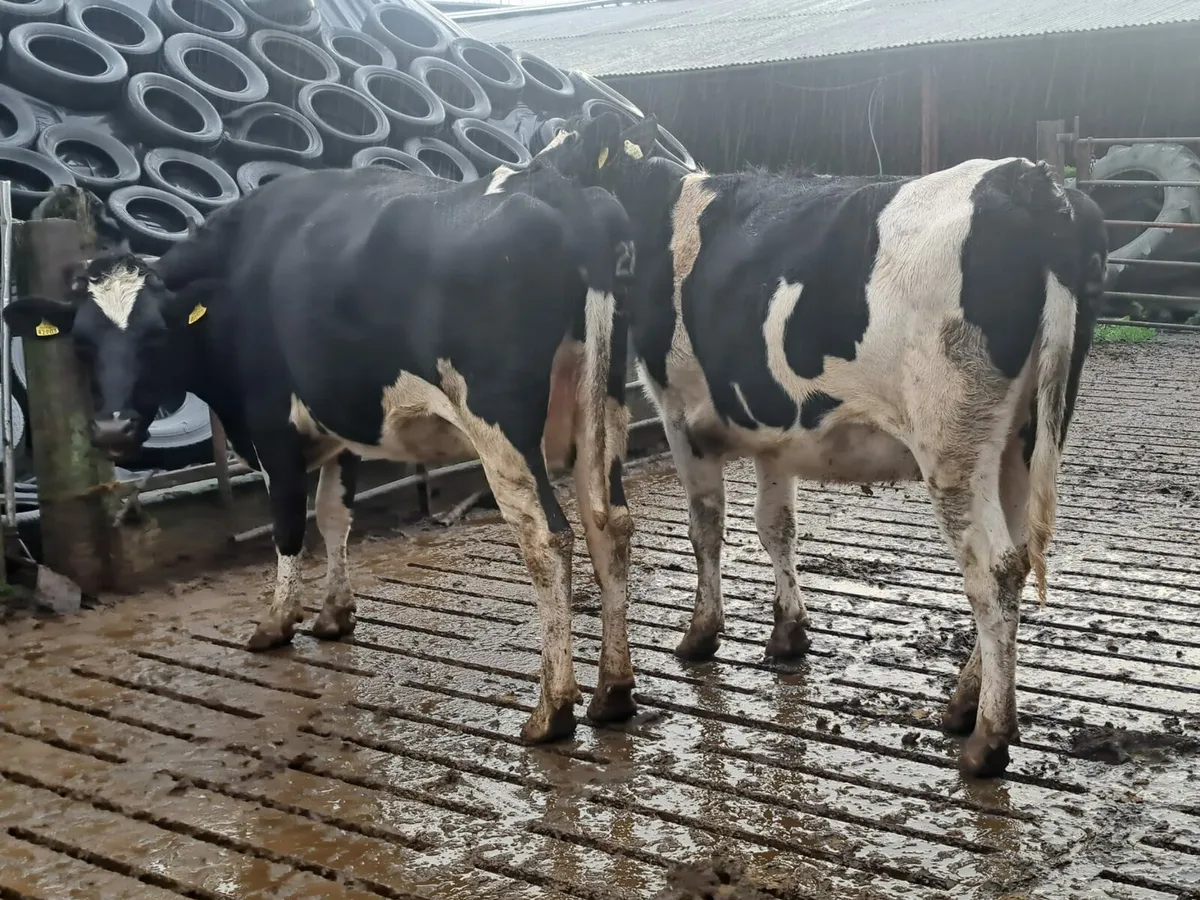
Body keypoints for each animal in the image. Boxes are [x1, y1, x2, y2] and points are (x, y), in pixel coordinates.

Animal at [2, 161, 640, 744]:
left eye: (157, 335)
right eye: (83, 344)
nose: (112, 429)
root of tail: (557, 188)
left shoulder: (272, 428)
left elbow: (287, 525)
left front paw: (276, 622)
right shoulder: (340, 429)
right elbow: (336, 517)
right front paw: (335, 614)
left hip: (498, 420)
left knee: (546, 535)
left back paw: (551, 710)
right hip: (602, 406)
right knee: (609, 521)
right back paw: (612, 692)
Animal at [535, 112, 1107, 777]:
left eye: (562, 157)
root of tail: (1032, 180)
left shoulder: (678, 414)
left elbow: (706, 525)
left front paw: (701, 634)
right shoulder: (775, 433)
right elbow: (776, 526)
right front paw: (789, 632)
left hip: (954, 446)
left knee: (991, 569)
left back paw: (988, 738)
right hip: (1022, 438)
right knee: (1012, 561)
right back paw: (964, 704)